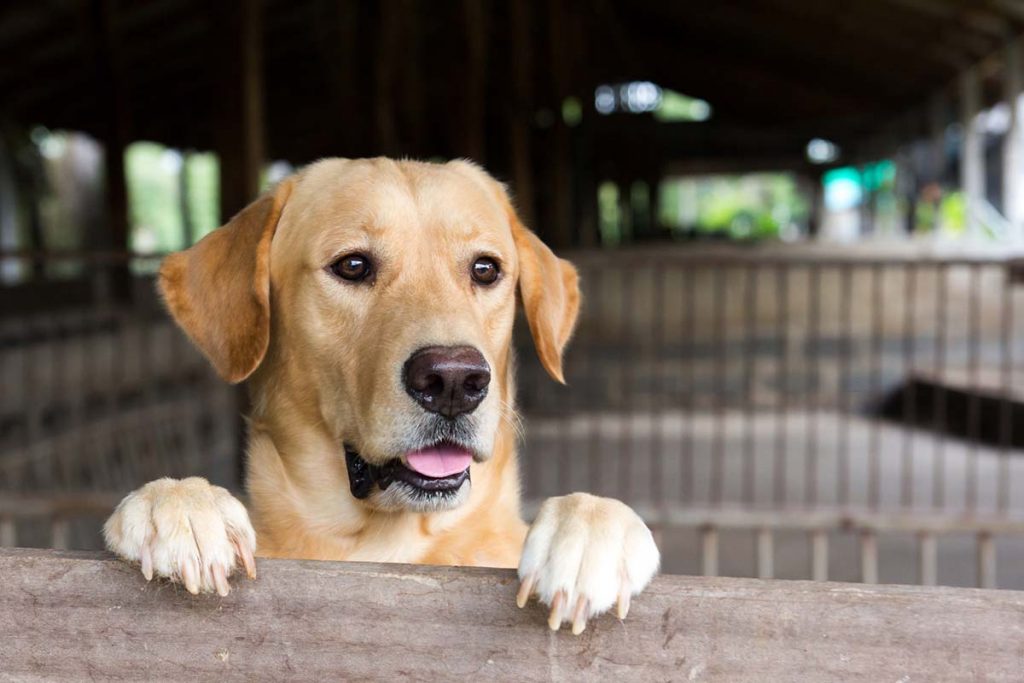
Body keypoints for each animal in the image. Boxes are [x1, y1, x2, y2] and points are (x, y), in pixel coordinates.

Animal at [101, 157, 655, 634]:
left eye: (485, 269)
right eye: (352, 265)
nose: (454, 381)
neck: (389, 542)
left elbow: (594, 511)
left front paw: (588, 534)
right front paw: (181, 504)